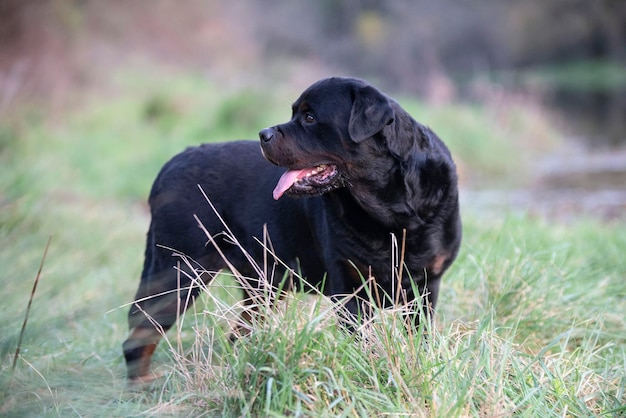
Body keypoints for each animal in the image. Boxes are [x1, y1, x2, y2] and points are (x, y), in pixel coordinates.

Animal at [123, 77, 458, 382]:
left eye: (309, 118)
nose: (263, 134)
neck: (390, 211)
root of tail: (170, 164)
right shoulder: (350, 288)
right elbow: (363, 343)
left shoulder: (425, 288)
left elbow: (419, 338)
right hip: (179, 270)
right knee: (142, 331)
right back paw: (142, 384)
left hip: (260, 285)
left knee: (235, 332)